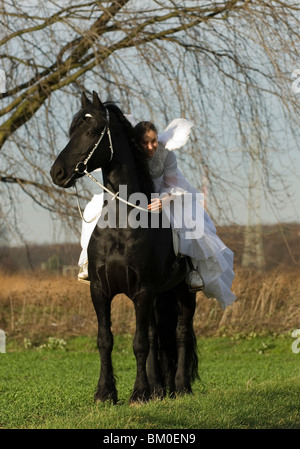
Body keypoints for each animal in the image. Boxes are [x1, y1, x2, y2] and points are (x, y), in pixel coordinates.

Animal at [50, 90, 198, 402]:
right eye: (72, 131)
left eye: (91, 131)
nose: (57, 172)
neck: (122, 224)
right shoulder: (100, 291)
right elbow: (105, 340)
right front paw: (105, 392)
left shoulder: (141, 291)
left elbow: (139, 343)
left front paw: (138, 393)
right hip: (158, 296)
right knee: (157, 336)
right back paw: (159, 389)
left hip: (183, 293)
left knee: (180, 333)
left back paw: (180, 387)